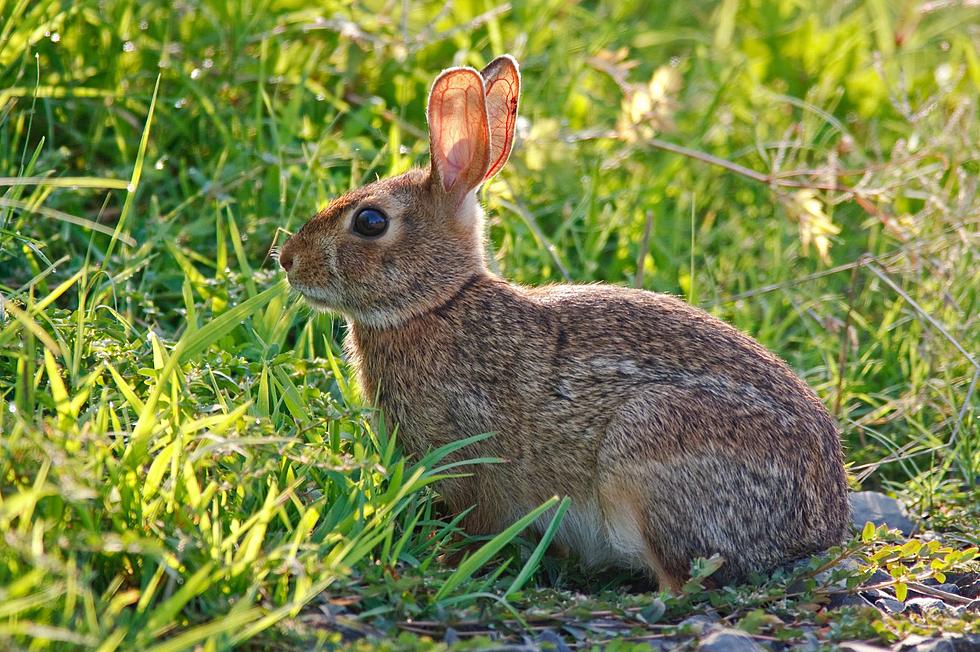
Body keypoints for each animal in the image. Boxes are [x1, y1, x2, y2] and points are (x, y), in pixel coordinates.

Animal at [280, 53, 852, 588]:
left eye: (370, 221)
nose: (286, 260)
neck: (440, 302)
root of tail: (817, 531)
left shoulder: (471, 461)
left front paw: (447, 561)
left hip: (645, 452)